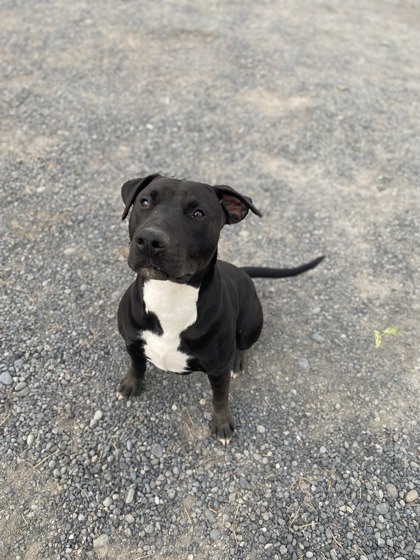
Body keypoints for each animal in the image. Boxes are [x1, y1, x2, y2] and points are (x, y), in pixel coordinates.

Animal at [116, 173, 324, 444]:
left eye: (198, 213)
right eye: (144, 202)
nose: (150, 240)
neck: (169, 296)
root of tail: (243, 272)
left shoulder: (217, 370)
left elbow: (220, 397)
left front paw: (222, 423)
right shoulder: (131, 342)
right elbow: (137, 365)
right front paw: (131, 384)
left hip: (250, 325)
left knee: (243, 345)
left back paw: (237, 361)